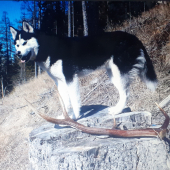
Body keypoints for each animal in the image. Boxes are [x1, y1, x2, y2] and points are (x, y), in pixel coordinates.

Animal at [10, 21, 157, 119]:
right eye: (17, 45)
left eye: (24, 43)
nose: (18, 54)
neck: (48, 49)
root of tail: (133, 36)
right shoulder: (60, 82)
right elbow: (66, 102)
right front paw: (66, 117)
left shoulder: (70, 79)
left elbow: (75, 100)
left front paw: (75, 117)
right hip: (113, 75)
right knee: (124, 93)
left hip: (119, 74)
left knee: (126, 93)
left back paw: (117, 111)